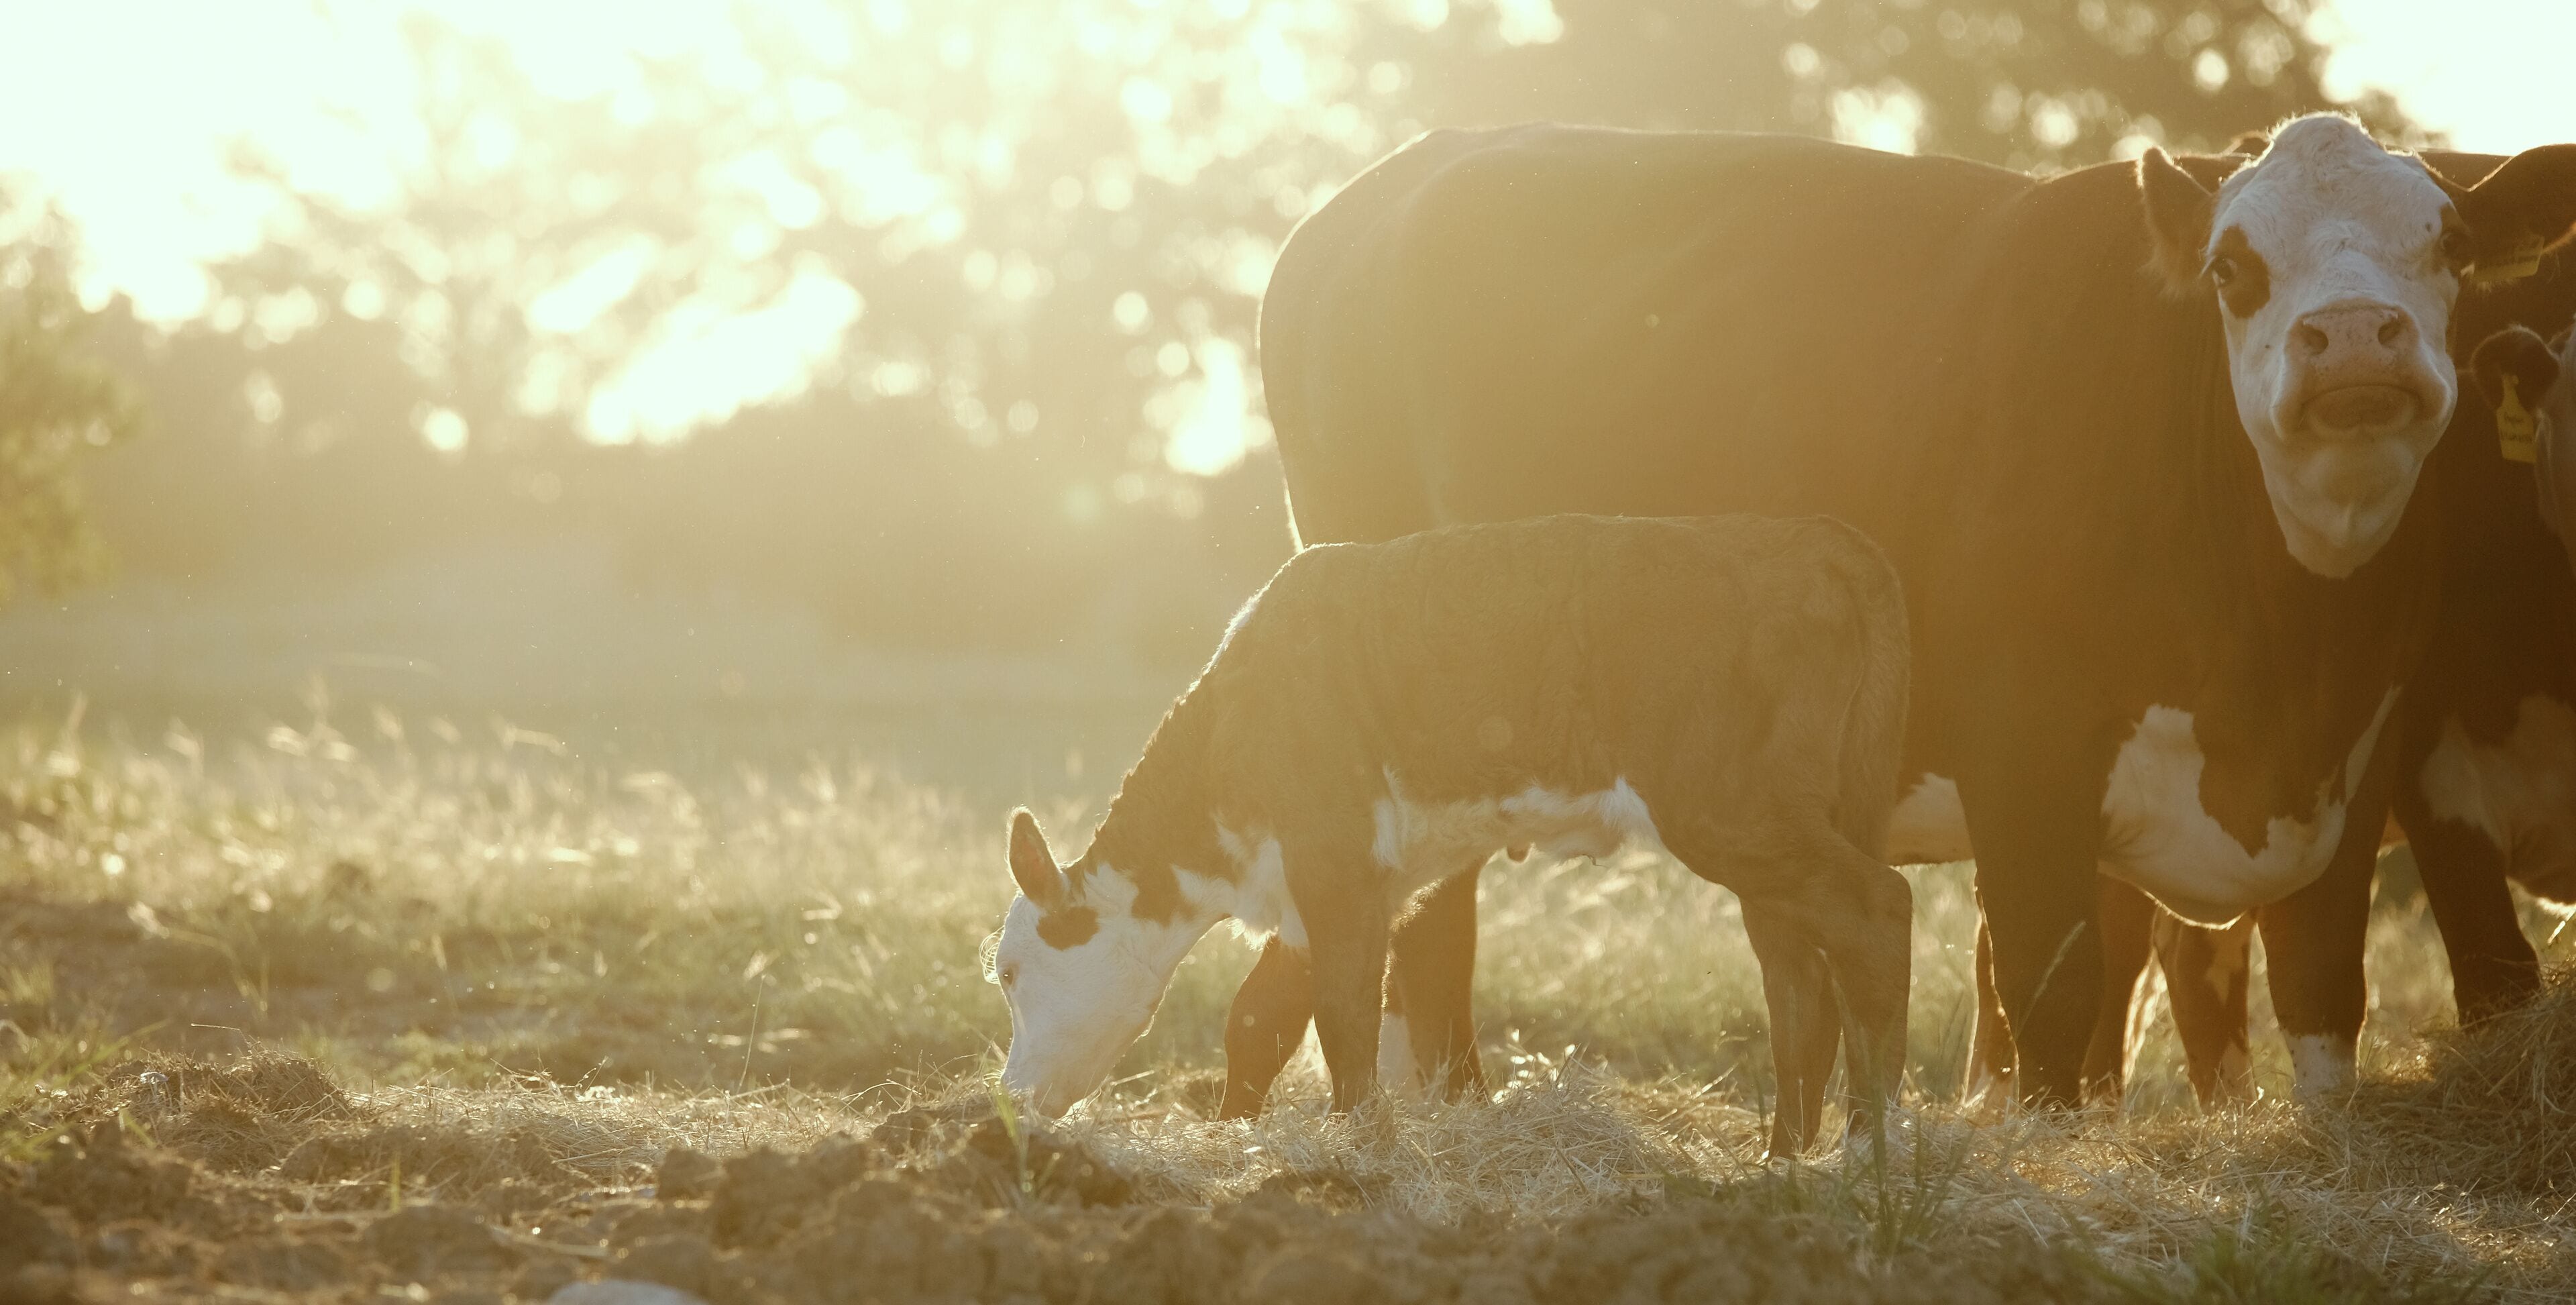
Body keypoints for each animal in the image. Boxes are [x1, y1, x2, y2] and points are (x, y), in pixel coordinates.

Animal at [989, 513, 1913, 1157]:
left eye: (1009, 970)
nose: (1009, 1096)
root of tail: (1812, 541)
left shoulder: (1335, 862)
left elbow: (1345, 1017)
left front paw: (1357, 1144)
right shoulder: (1335, 886)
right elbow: (1260, 1020)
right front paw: (1237, 1137)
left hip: (1728, 808)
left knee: (1877, 907)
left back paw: (1865, 1150)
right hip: (1779, 831)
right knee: (1799, 978)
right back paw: (1782, 1159)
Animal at [1223, 116, 2576, 1111]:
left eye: (2450, 244)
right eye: (2234, 268)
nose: (2352, 336)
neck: (2287, 648)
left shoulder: (2363, 760)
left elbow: (2323, 1000)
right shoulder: (2029, 760)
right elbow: (2053, 1002)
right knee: (1425, 932)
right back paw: (1450, 1111)